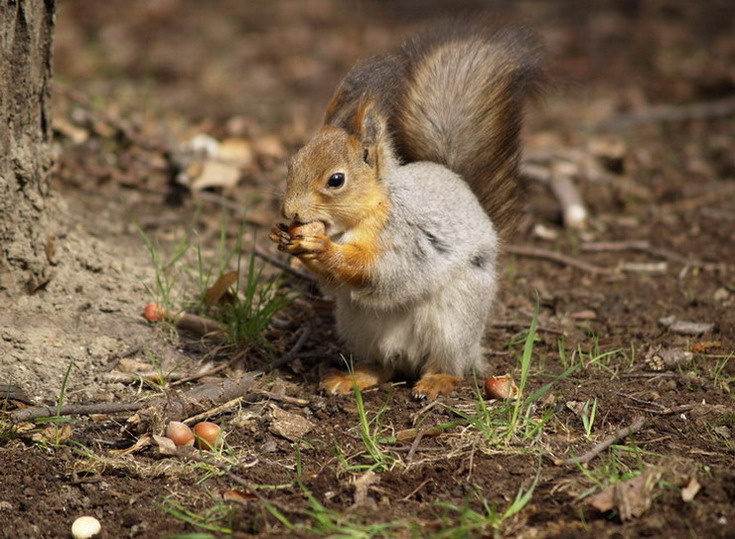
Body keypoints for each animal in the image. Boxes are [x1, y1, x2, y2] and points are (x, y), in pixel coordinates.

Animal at [270, 22, 543, 399]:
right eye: (292, 163)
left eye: (336, 180)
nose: (290, 212)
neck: (366, 214)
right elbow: (334, 284)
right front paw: (285, 238)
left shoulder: (406, 235)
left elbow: (384, 271)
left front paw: (321, 247)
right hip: (359, 326)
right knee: (383, 366)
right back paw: (353, 377)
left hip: (454, 322)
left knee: (449, 364)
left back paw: (436, 381)